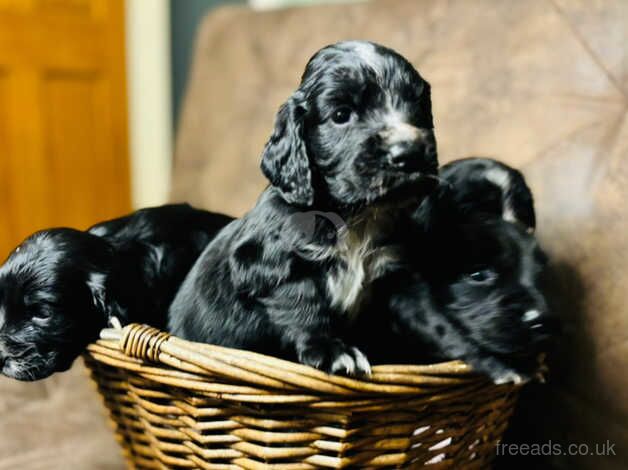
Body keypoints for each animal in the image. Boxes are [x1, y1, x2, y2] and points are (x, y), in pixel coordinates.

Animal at [169, 41, 440, 378]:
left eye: (417, 106)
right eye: (341, 114)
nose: (410, 151)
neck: (356, 216)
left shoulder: (386, 270)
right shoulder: (273, 265)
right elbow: (303, 305)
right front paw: (333, 350)